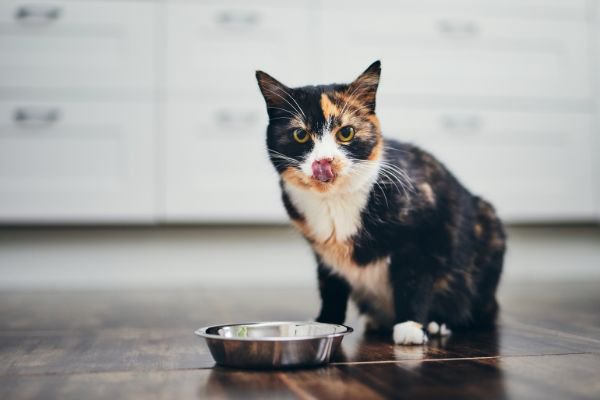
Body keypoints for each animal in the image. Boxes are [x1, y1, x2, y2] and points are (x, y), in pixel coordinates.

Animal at [255, 61, 504, 346]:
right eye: (300, 134)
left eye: (346, 132)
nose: (324, 161)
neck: (335, 201)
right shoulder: (324, 255)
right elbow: (330, 287)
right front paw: (325, 322)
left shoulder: (424, 230)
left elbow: (414, 278)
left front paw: (410, 326)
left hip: (488, 228)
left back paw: (439, 323)